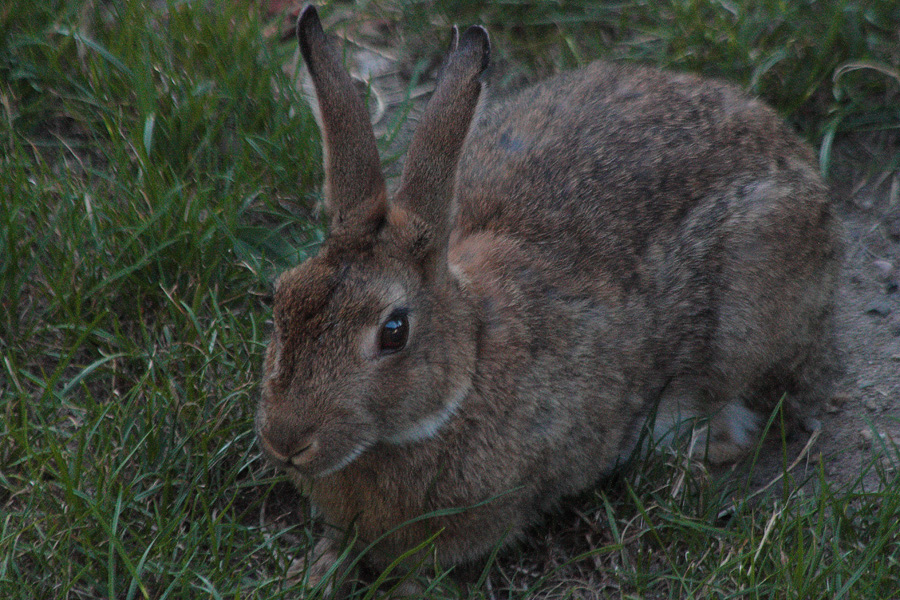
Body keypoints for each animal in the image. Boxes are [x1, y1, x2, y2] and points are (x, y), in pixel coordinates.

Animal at [255, 2, 844, 588]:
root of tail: (793, 154)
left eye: (393, 332)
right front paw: (315, 570)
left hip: (745, 318)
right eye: (282, 299)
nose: (286, 441)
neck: (470, 367)